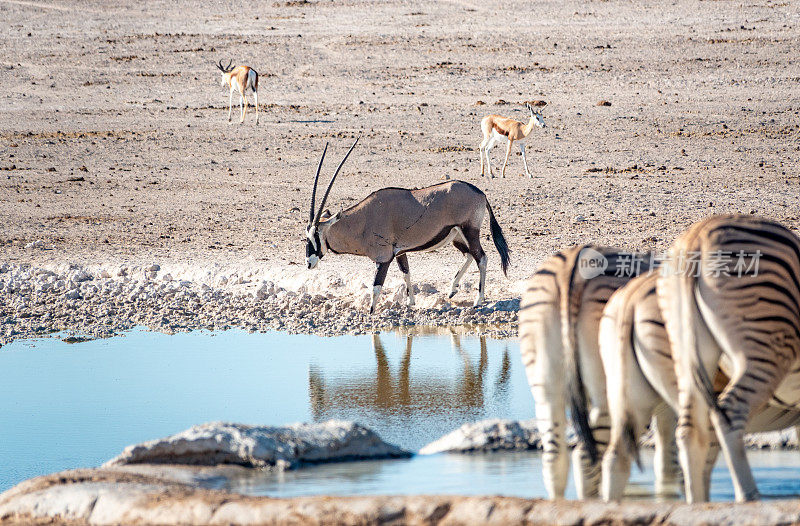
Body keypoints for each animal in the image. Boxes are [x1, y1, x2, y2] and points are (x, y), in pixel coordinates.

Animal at [656, 217, 800, 506]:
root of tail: (698, 235)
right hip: (763, 348)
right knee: (730, 413)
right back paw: (749, 495)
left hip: (688, 353)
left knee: (688, 429)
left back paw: (697, 503)